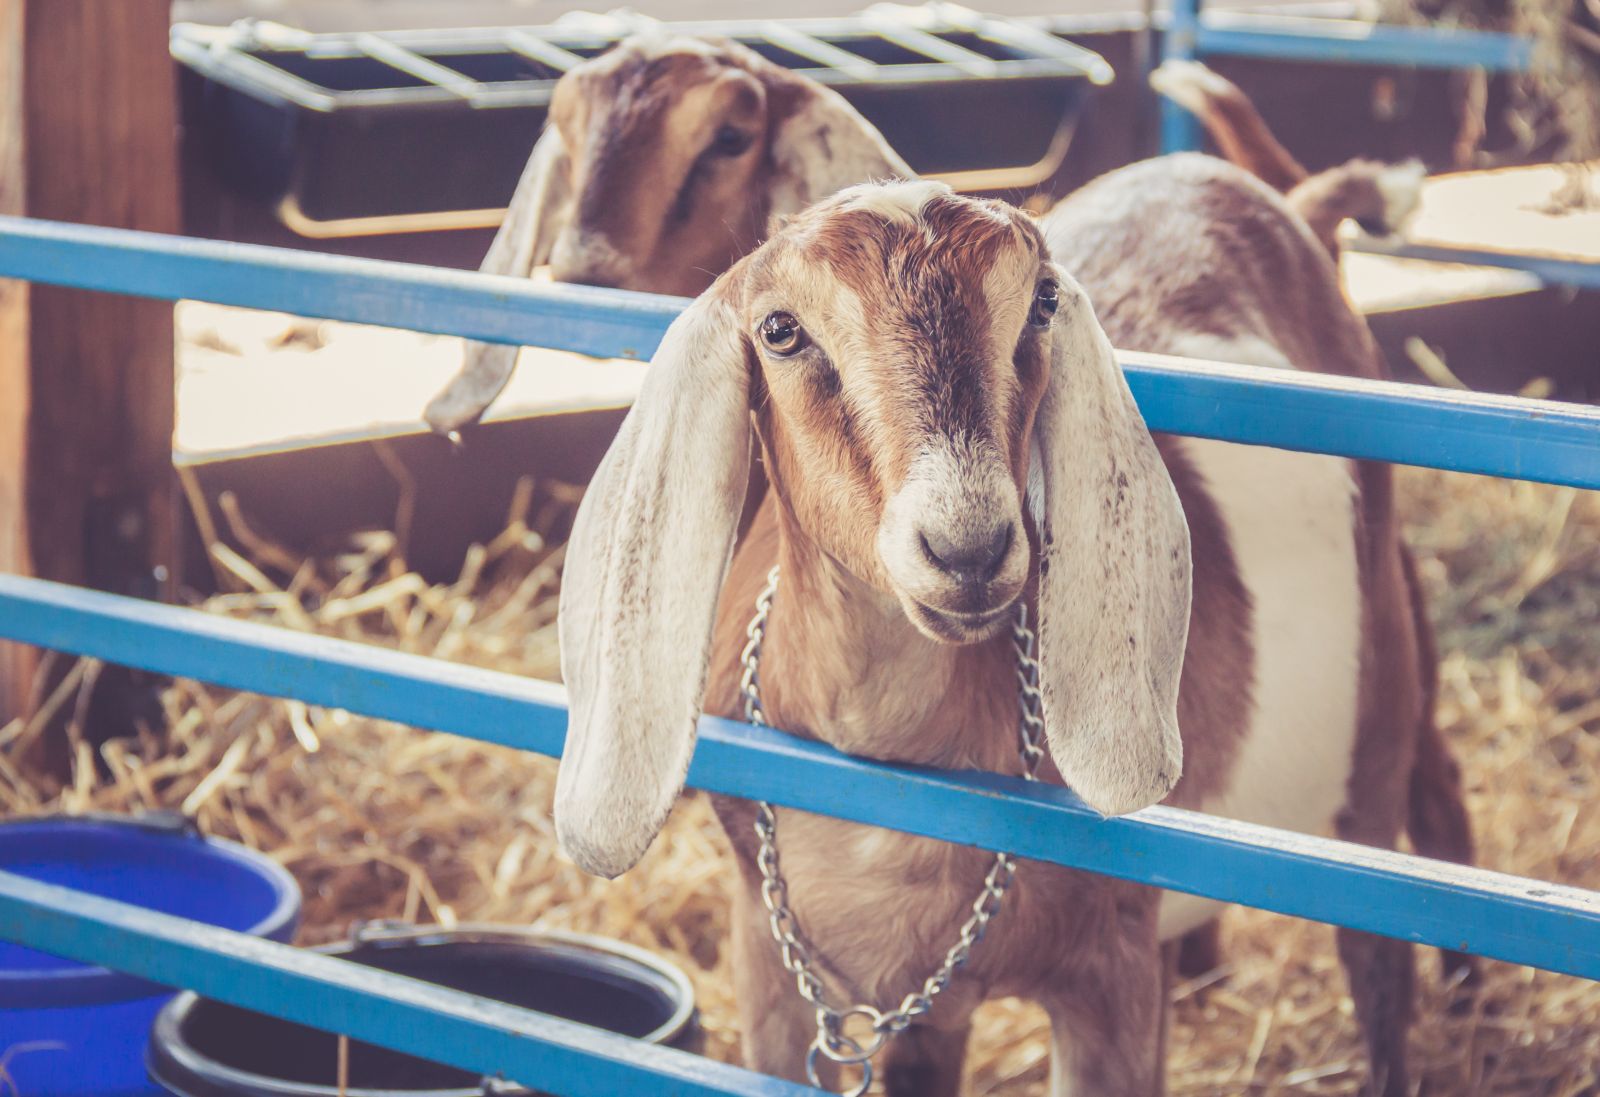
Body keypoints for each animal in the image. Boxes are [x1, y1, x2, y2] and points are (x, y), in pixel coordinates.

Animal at [553, 167, 1472, 1093]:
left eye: (1041, 302)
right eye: (779, 329)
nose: (969, 545)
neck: (880, 770)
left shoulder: (1108, 968)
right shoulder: (781, 962)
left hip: (1373, 712)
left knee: (1382, 927)